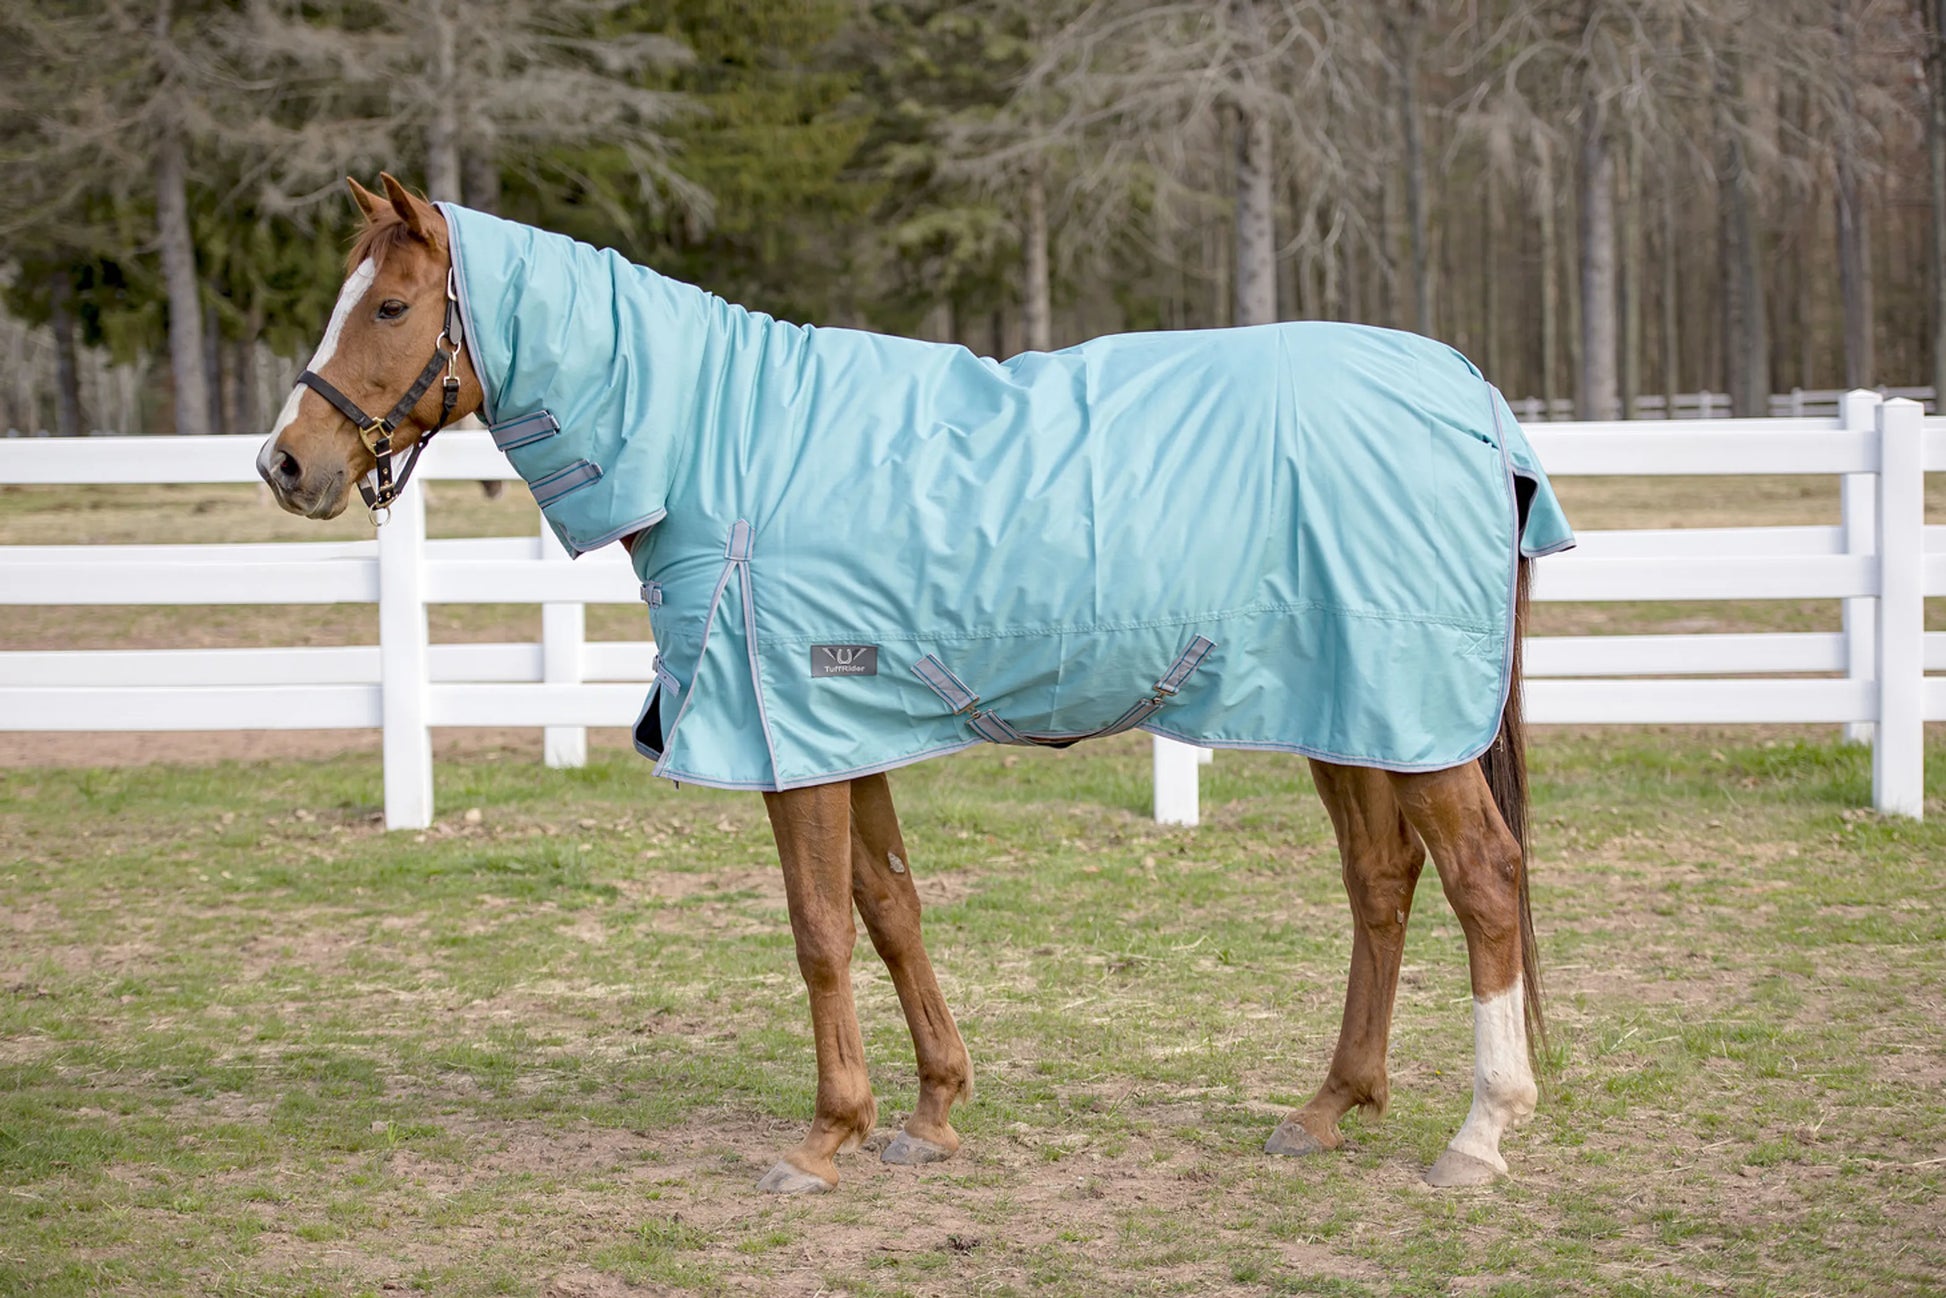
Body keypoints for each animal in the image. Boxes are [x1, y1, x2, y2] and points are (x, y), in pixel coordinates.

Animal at [258, 174, 1573, 1193]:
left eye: (389, 304)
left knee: (1481, 877)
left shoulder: (785, 734)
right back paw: (1325, 1108)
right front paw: (932, 1111)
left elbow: (818, 932)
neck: (723, 447)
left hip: (1404, 713)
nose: (286, 464)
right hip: (1352, 716)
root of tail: (1471, 397)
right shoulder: (842, 734)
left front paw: (825, 1134)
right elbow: (889, 908)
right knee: (1380, 883)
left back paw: (1477, 1134)